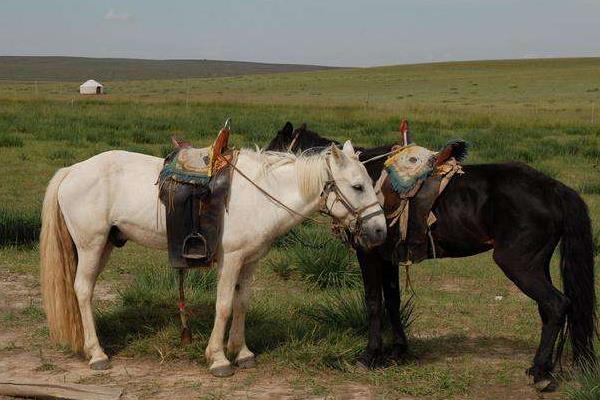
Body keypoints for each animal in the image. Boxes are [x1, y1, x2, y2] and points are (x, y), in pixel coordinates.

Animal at [38, 140, 384, 376]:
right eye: (357, 186)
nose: (380, 230)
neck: (261, 196)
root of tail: (72, 171)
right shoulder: (231, 260)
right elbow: (224, 305)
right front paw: (218, 358)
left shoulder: (250, 261)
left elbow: (242, 303)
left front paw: (241, 352)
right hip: (91, 245)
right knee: (83, 290)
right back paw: (97, 354)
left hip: (106, 244)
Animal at [268, 122, 596, 390]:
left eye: (271, 157)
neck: (356, 184)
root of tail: (554, 188)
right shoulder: (388, 257)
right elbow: (393, 300)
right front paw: (398, 351)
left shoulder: (369, 254)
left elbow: (373, 303)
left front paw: (370, 355)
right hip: (538, 263)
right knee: (549, 308)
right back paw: (542, 367)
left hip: (518, 263)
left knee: (555, 304)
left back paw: (541, 373)